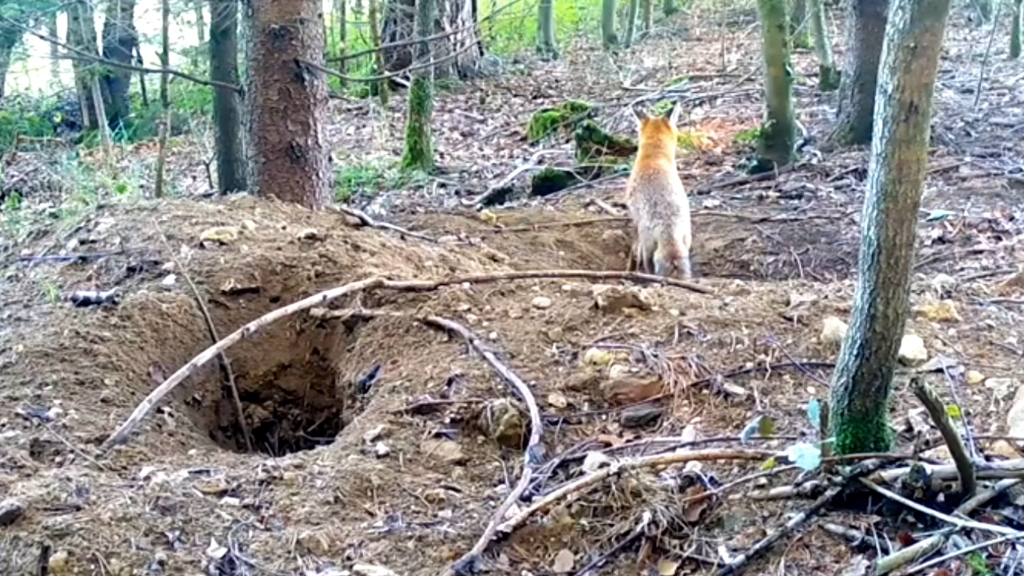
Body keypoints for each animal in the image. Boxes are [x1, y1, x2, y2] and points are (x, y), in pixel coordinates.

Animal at [618, 101, 692, 280]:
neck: (654, 157)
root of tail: (669, 228)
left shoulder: (634, 217)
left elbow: (634, 248)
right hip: (687, 238)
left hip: (647, 242)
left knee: (647, 263)